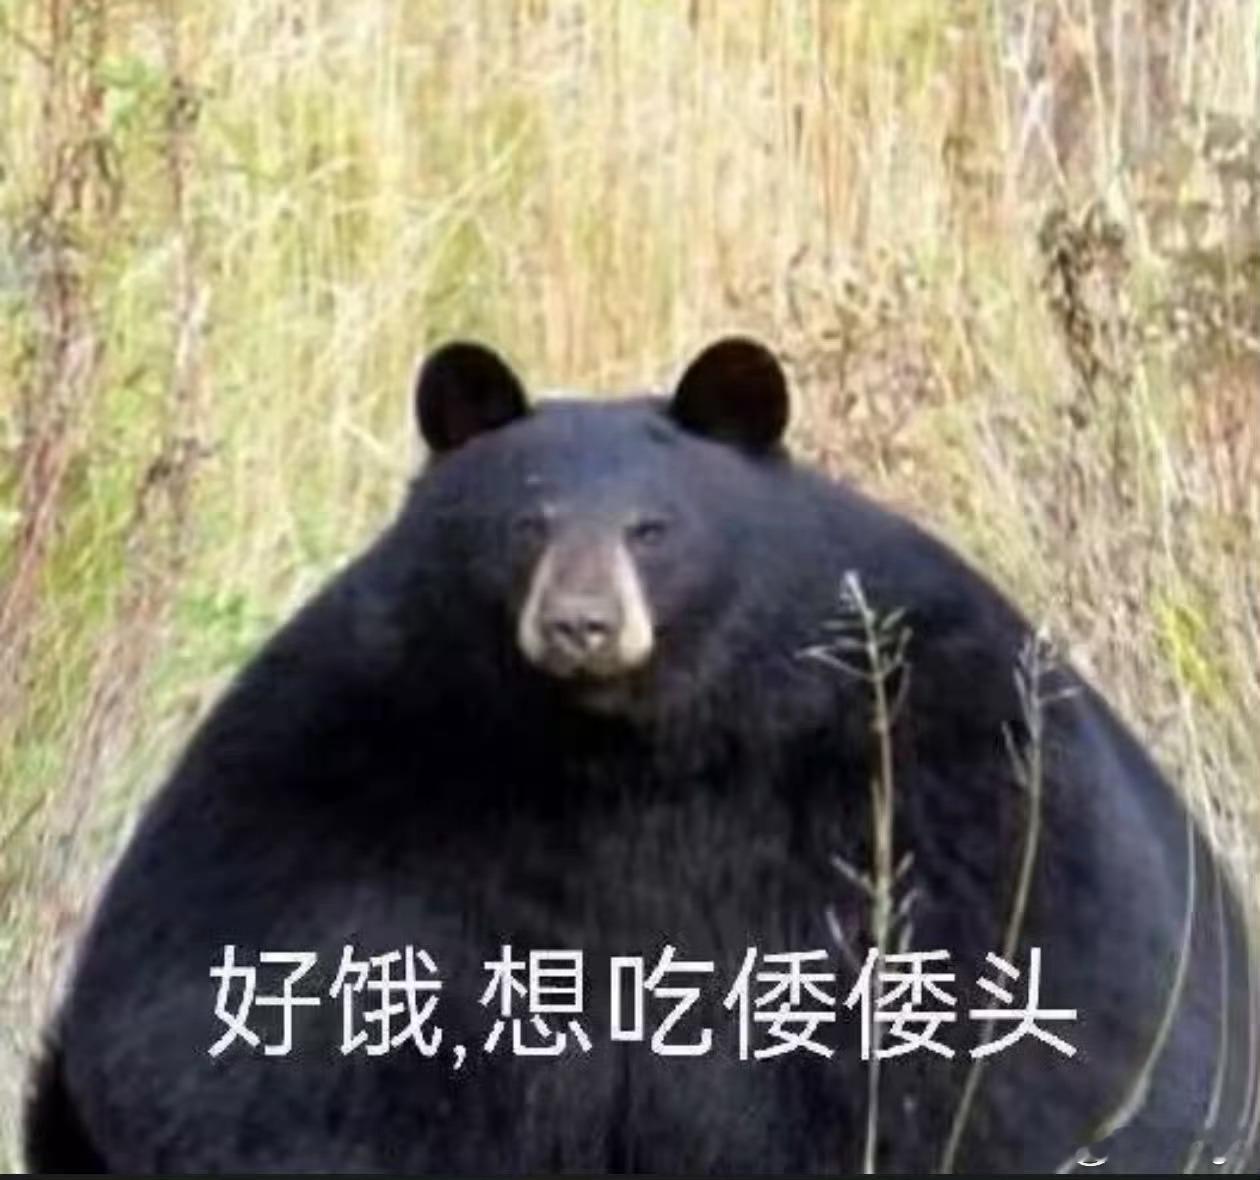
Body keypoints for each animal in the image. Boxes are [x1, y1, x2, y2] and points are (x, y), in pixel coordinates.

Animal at [25, 335, 1259, 1173]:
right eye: (526, 522)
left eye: (652, 529)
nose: (579, 624)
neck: (629, 749)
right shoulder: (349, 762)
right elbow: (248, 1031)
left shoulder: (938, 759)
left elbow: (1042, 1017)